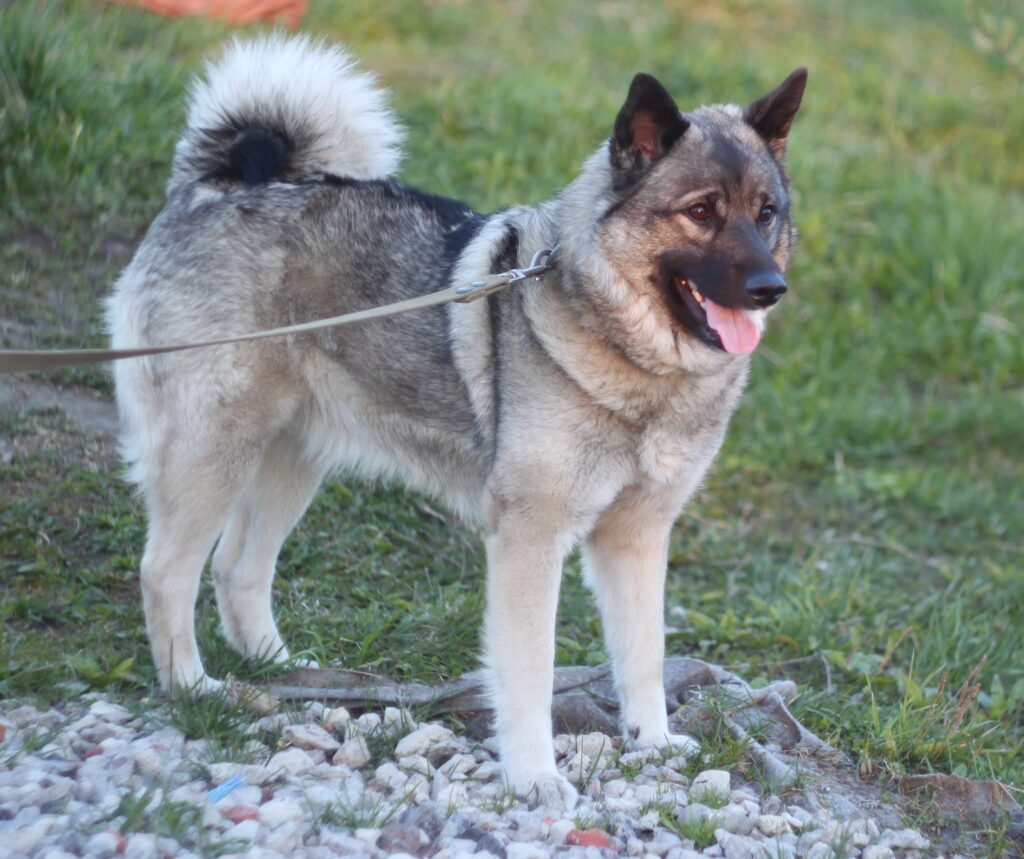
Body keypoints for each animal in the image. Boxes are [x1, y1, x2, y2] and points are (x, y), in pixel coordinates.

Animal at [105, 33, 806, 810]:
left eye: (766, 212)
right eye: (701, 212)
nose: (770, 288)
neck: (638, 363)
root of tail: (217, 188)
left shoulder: (636, 537)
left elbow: (644, 652)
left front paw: (651, 740)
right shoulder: (530, 538)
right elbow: (529, 670)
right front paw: (534, 774)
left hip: (292, 457)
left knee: (237, 569)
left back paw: (289, 673)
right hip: (213, 451)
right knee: (166, 571)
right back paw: (193, 687)